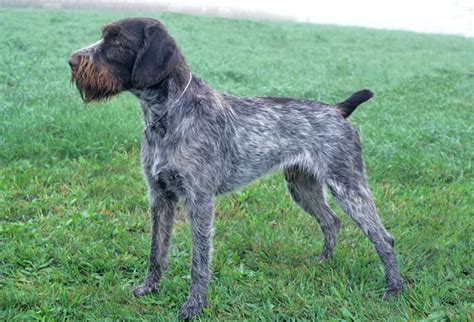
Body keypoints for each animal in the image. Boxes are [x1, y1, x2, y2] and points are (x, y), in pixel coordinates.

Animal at [68, 18, 402, 320]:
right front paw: (149, 288)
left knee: (383, 238)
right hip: (301, 186)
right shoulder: (160, 196)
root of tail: (337, 110)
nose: (71, 61)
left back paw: (393, 290)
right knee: (331, 221)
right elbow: (157, 251)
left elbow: (199, 261)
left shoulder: (200, 201)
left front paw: (194, 306)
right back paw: (323, 261)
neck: (167, 116)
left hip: (348, 186)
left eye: (117, 41)